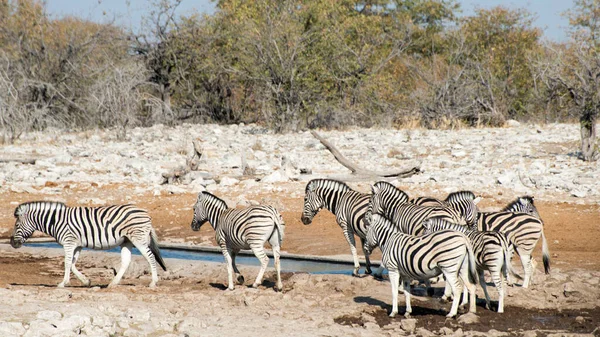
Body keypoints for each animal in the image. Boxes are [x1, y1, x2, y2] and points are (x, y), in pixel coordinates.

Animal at [11, 201, 166, 288]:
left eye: (17, 225)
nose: (12, 243)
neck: (56, 221)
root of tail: (145, 212)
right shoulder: (77, 244)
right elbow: (72, 264)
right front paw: (86, 282)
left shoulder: (69, 242)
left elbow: (67, 263)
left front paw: (62, 284)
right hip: (126, 240)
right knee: (126, 261)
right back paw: (113, 283)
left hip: (138, 238)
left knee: (150, 257)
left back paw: (153, 283)